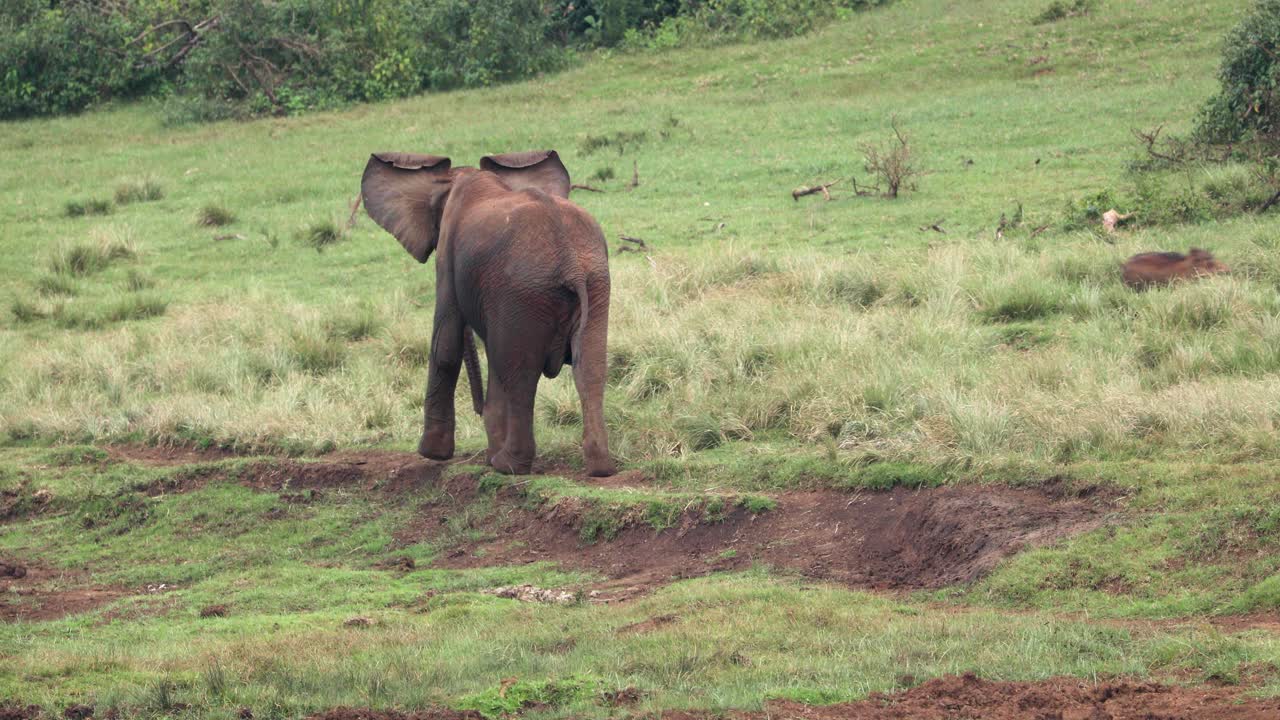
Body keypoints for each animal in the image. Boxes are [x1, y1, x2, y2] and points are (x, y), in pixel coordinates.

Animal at [361, 149, 616, 477]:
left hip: (523, 293)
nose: (477, 407)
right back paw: (600, 468)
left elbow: (446, 344)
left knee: (520, 375)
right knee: (589, 368)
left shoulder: (449, 259)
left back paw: (507, 465)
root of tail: (570, 259)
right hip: (594, 285)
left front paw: (432, 454)